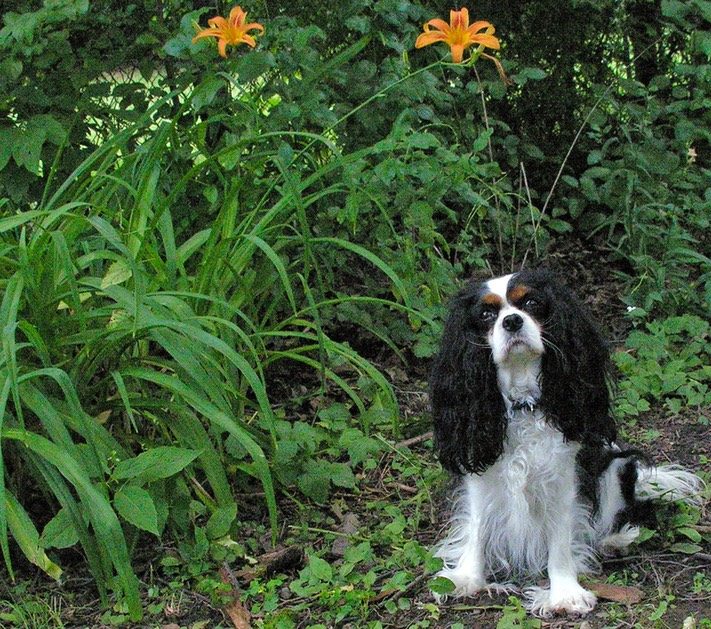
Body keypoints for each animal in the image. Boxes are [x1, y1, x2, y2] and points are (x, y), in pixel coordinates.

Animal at [432, 268, 704, 612]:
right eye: (486, 315)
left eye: (531, 303)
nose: (512, 321)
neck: (523, 405)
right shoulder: (482, 475)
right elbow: (478, 529)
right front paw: (467, 578)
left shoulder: (564, 479)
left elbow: (561, 538)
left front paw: (564, 593)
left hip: (617, 466)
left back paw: (615, 540)